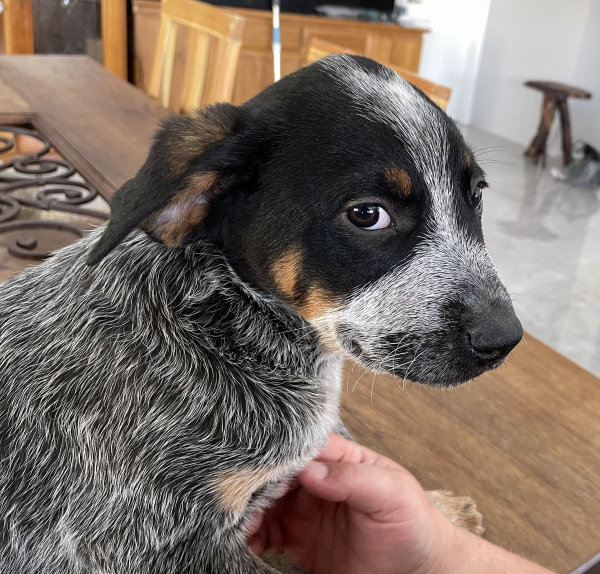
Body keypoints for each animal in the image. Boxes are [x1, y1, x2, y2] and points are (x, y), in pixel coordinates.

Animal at [0, 55, 520, 574]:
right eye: (367, 214)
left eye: (476, 195)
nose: (505, 340)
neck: (225, 323)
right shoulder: (144, 545)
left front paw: (438, 511)